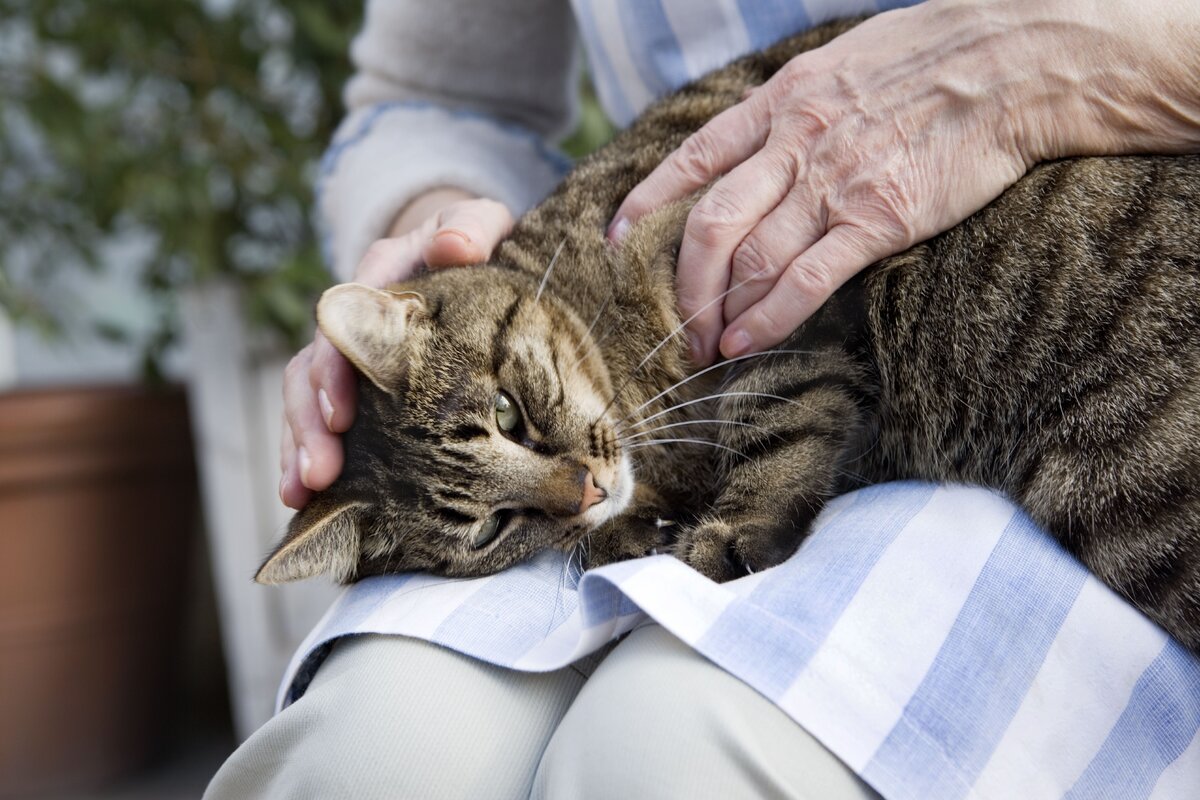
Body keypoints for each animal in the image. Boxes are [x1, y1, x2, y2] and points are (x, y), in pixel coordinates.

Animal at [260, 18, 1200, 652]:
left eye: (507, 414)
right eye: (490, 529)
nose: (586, 491)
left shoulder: (762, 274)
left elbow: (777, 415)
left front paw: (726, 529)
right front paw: (627, 532)